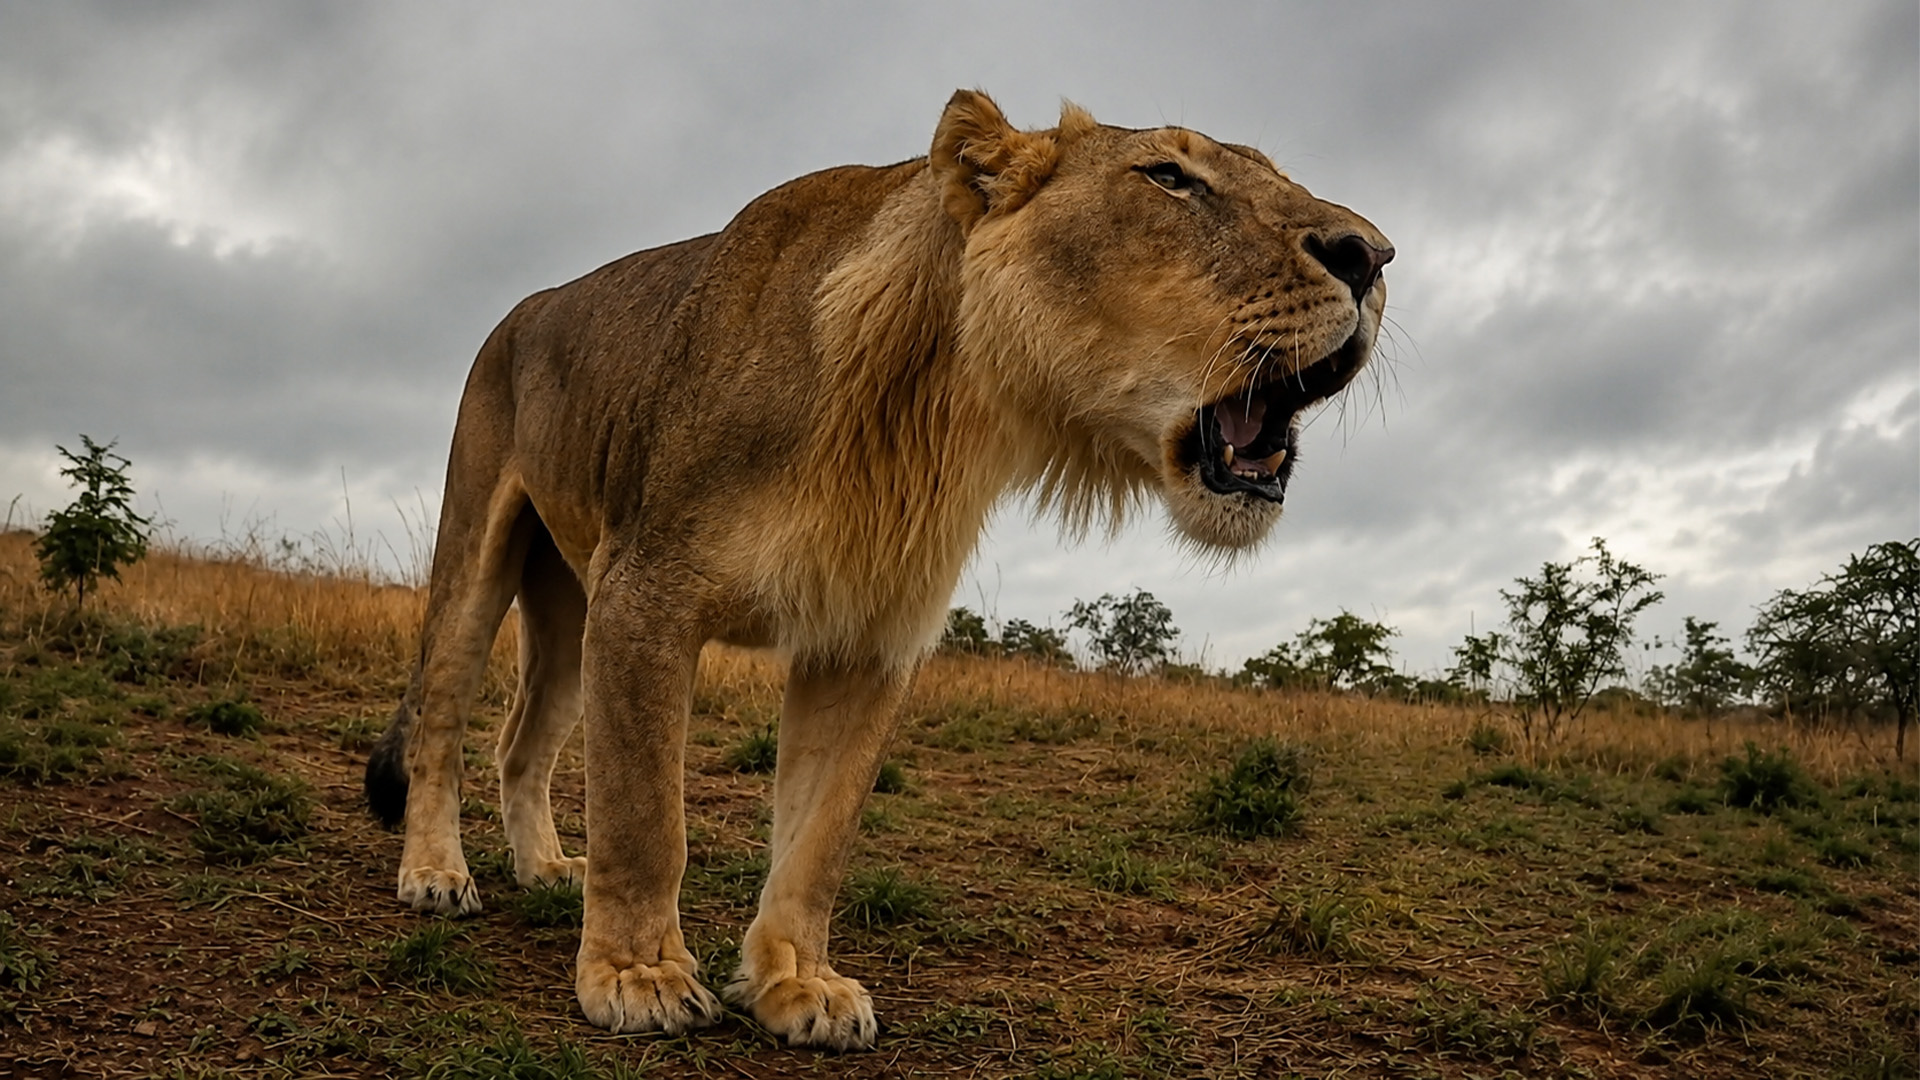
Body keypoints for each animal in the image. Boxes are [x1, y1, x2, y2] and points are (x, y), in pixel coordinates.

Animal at [365, 89, 1391, 1050]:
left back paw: (544, 869)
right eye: (1171, 177)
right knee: (443, 723)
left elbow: (819, 836)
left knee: (523, 739)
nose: (1375, 257)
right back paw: (437, 875)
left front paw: (797, 985)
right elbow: (645, 813)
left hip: (571, 599)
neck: (934, 410)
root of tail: (524, 307)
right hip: (480, 551)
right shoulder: (646, 594)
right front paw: (637, 977)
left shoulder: (864, 636)